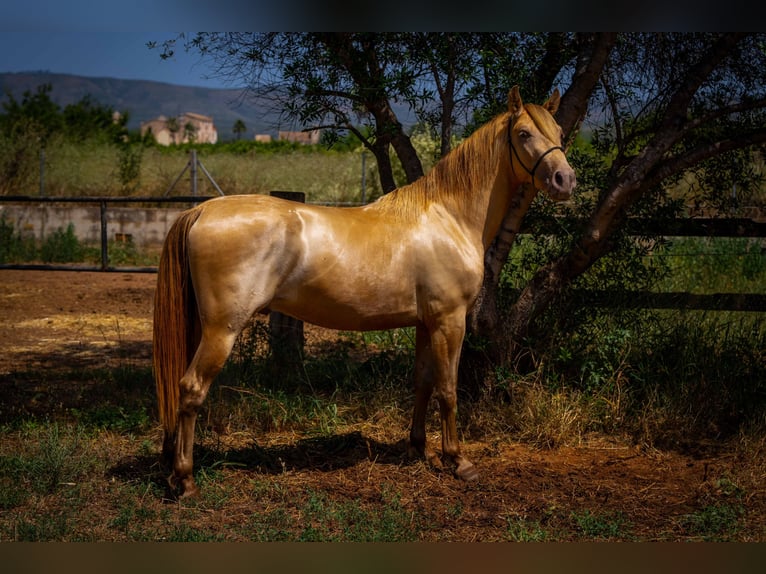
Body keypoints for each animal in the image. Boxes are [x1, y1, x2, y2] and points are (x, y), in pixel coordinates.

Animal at [153, 86, 576, 498]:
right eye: (524, 134)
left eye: (559, 132)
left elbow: (423, 383)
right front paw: (458, 461)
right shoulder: (449, 321)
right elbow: (448, 390)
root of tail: (201, 211)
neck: (448, 217)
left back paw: (172, 470)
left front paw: (417, 447)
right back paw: (186, 479)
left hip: (201, 327)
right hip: (221, 331)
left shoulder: (426, 323)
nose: (565, 180)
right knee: (191, 389)